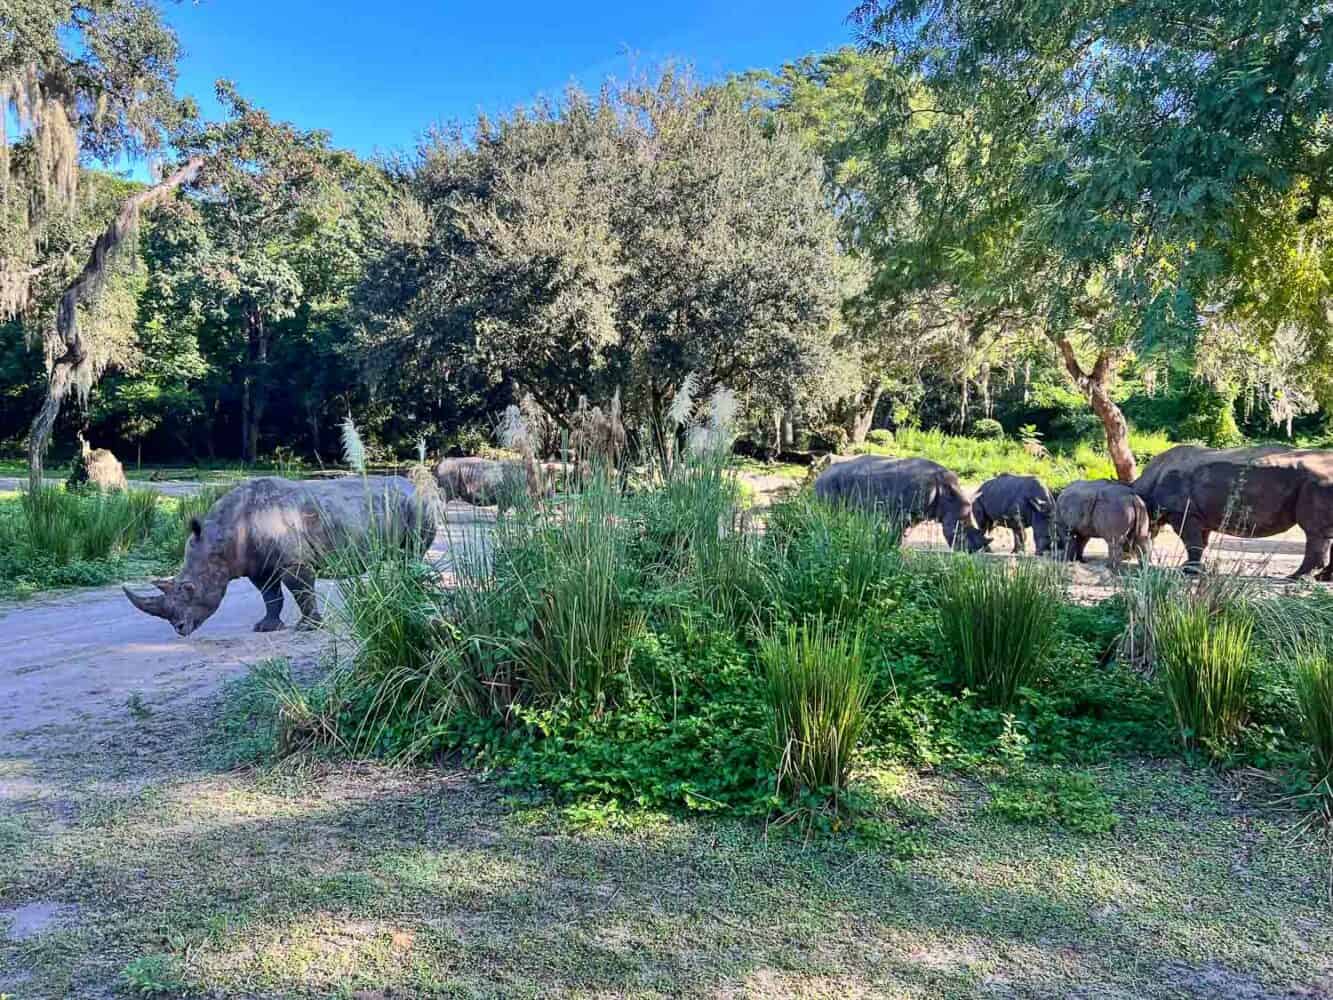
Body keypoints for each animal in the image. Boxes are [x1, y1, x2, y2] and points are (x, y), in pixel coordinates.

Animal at [123, 474, 434, 634]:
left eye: (190, 588)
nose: (179, 628)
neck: (221, 537)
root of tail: (414, 484)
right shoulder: (258, 566)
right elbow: (271, 596)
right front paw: (266, 627)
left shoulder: (294, 561)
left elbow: (301, 591)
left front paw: (308, 627)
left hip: (416, 506)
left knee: (411, 554)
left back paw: (410, 594)